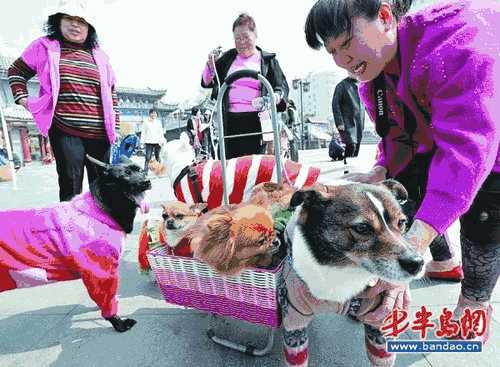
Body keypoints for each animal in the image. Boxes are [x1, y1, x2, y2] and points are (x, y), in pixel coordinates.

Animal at [0, 155, 150, 334]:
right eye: (125, 175)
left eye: (141, 170)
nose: (147, 181)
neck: (101, 209)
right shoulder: (101, 272)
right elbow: (108, 301)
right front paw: (118, 323)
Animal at [282, 180, 426, 367]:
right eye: (362, 227)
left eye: (402, 222)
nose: (417, 263)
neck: (341, 269)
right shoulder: (294, 319)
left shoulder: (378, 323)